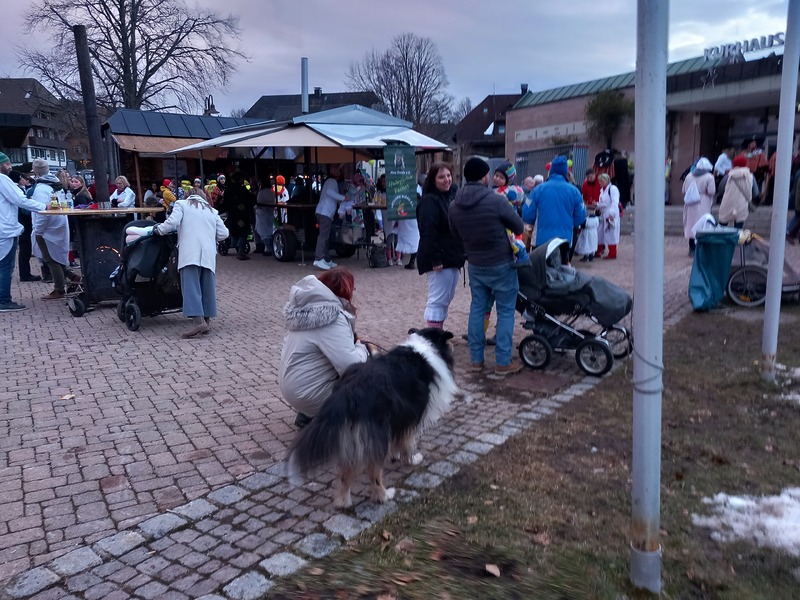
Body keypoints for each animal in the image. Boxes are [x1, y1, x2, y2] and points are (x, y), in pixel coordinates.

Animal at [286, 328, 456, 506]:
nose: (453, 346)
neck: (426, 346)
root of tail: (351, 392)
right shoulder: (410, 416)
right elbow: (407, 443)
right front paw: (411, 459)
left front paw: (395, 455)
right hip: (376, 430)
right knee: (374, 471)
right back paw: (383, 495)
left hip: (350, 435)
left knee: (346, 473)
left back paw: (343, 501)